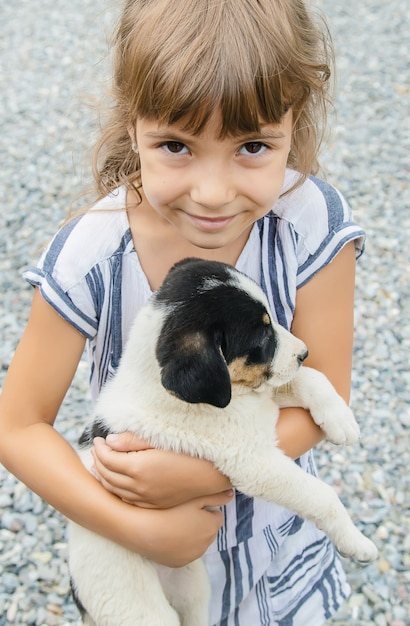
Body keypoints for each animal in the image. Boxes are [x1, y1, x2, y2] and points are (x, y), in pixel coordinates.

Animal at [68, 258, 378, 624]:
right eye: (262, 335)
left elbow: (309, 379)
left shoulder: (263, 398)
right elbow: (322, 496)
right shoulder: (254, 462)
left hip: (193, 586)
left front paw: (341, 419)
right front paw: (356, 542)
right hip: (136, 606)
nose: (304, 352)